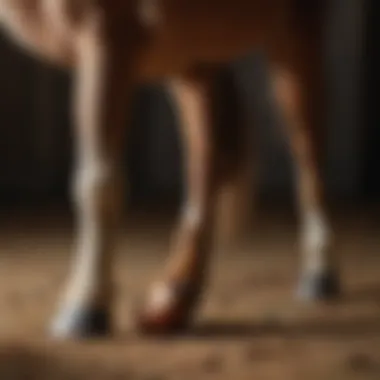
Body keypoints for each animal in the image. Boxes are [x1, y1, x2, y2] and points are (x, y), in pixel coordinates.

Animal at [0, 0, 338, 338]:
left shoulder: (107, 32)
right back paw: (174, 301)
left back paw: (319, 273)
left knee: (308, 151)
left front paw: (87, 304)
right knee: (210, 154)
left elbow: (97, 183)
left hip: (295, 28)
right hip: (192, 51)